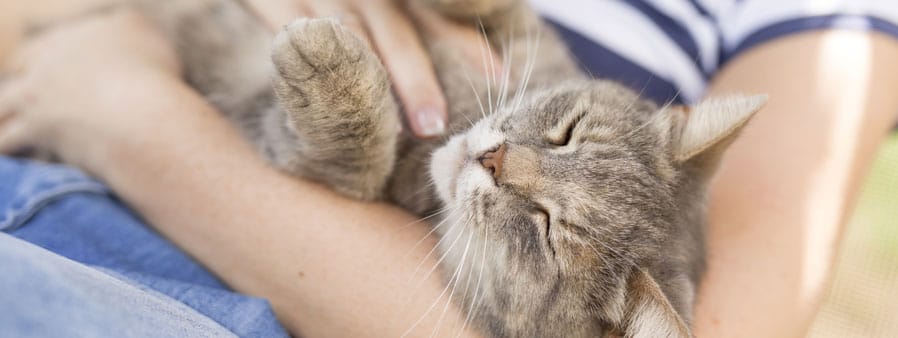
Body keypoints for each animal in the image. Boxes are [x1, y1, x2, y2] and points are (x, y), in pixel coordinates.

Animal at [133, 0, 764, 336]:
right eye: (569, 132)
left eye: (546, 229)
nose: (493, 157)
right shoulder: (529, 40)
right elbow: (504, 9)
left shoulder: (320, 165)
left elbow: (350, 155)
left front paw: (330, 70)